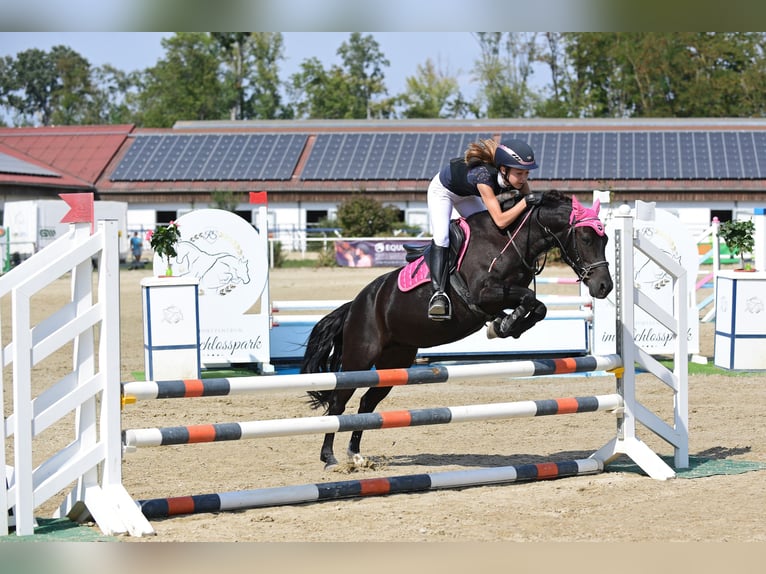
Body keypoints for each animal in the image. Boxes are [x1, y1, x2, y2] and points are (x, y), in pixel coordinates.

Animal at [304, 191, 616, 470]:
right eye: (586, 238)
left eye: (606, 239)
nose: (604, 287)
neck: (509, 240)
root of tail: (356, 304)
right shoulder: (485, 294)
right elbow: (530, 299)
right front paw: (503, 325)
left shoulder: (505, 295)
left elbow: (538, 307)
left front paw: (504, 326)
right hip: (359, 357)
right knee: (338, 403)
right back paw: (329, 457)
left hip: (395, 361)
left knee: (367, 403)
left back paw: (355, 455)